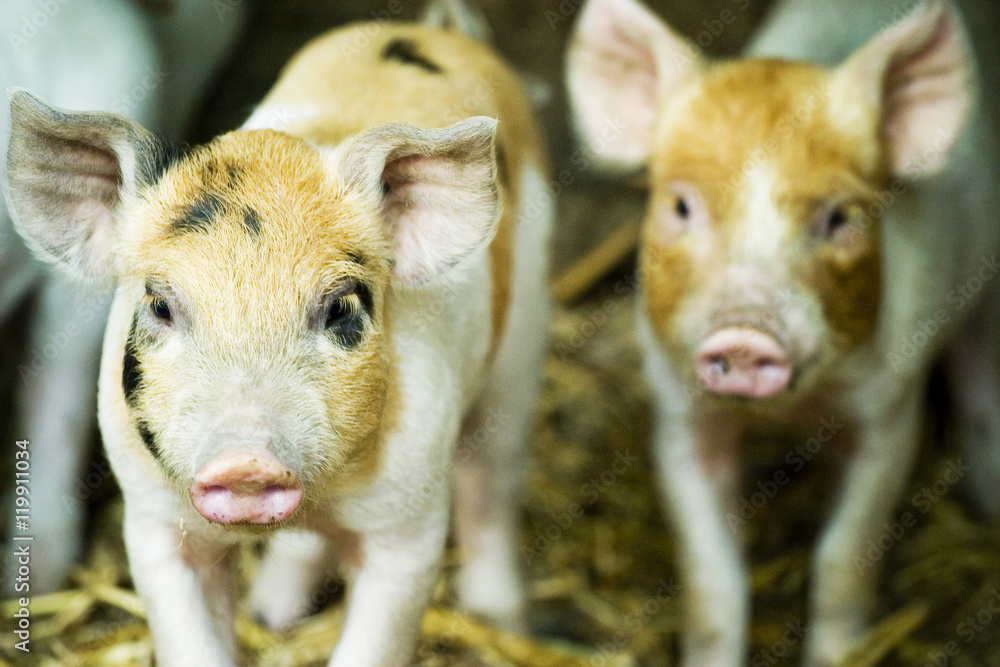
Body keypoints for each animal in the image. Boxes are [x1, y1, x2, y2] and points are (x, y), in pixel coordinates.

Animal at [565, 0, 1000, 664]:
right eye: (681, 206)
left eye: (841, 217)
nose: (746, 334)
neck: (789, 414)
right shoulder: (679, 414)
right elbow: (713, 579)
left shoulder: (890, 412)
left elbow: (843, 556)